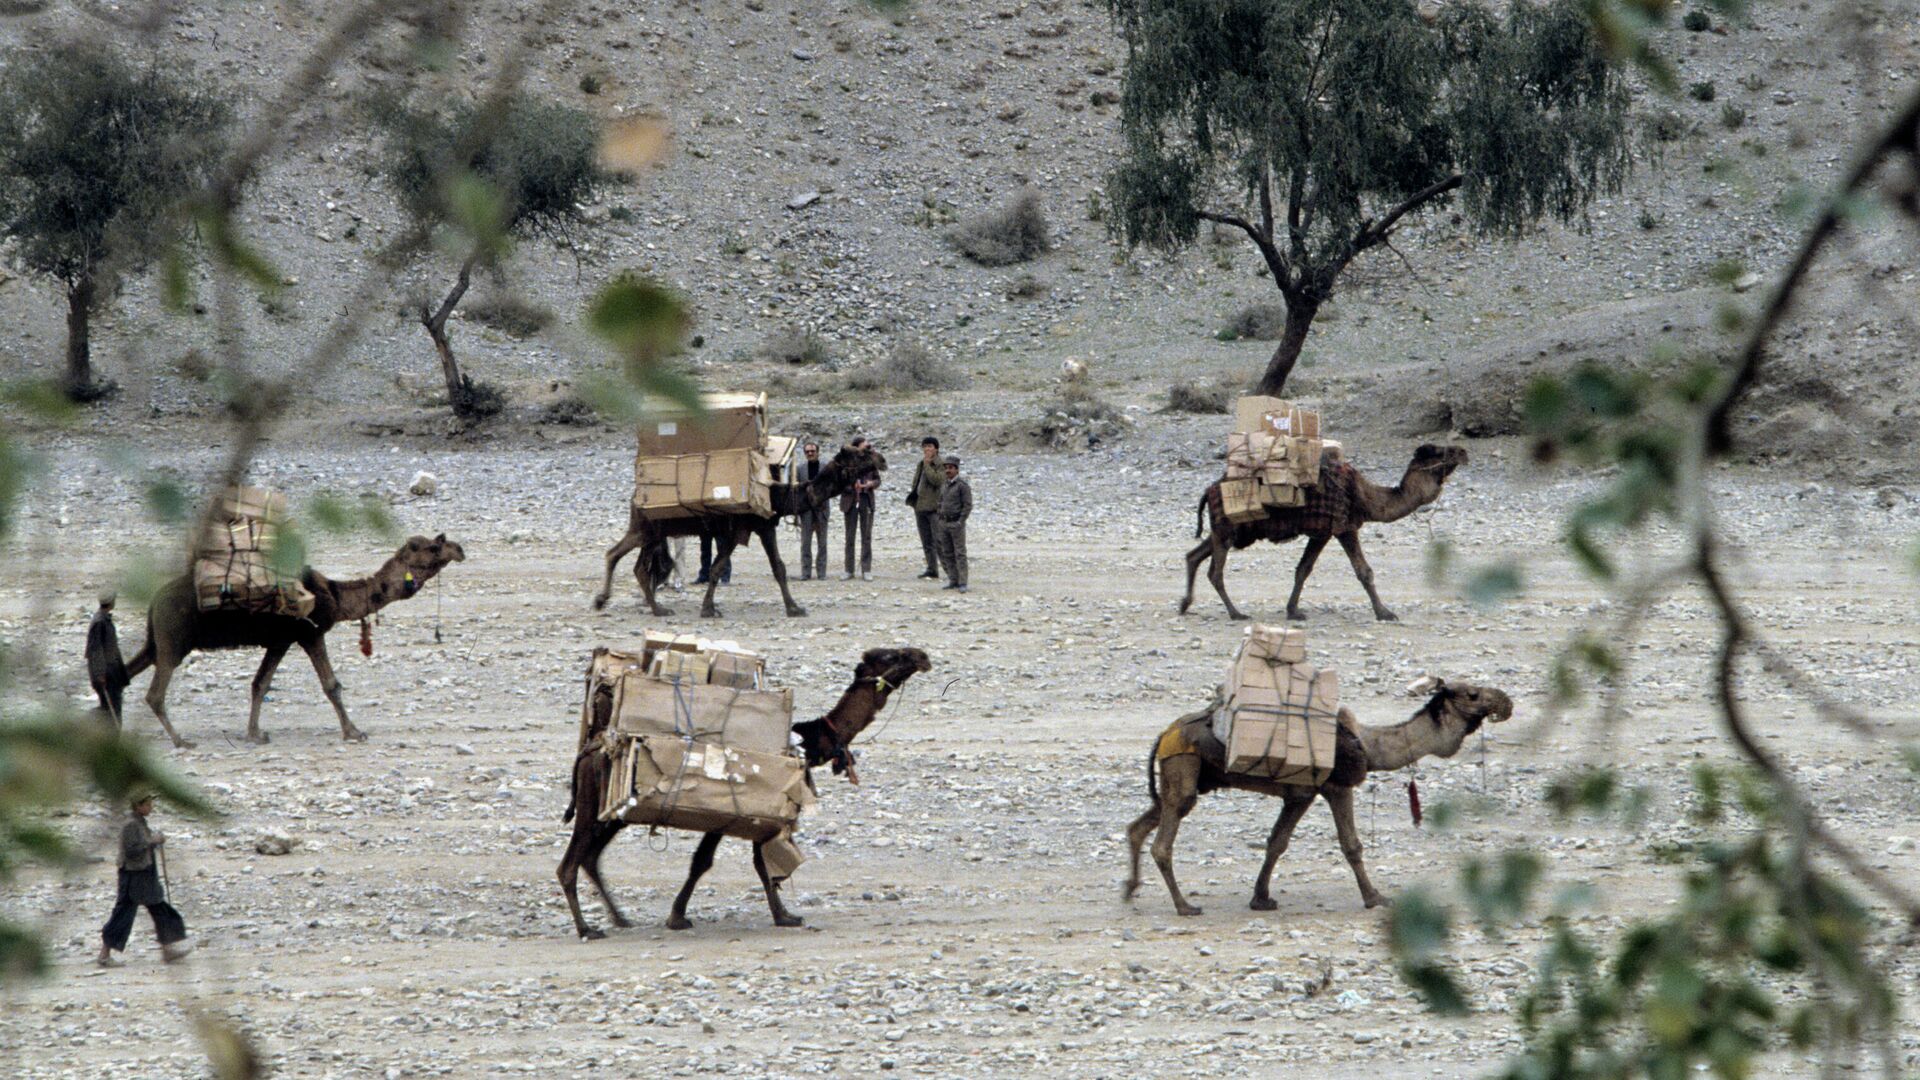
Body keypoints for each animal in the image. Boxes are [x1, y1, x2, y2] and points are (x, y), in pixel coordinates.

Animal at [98, 530, 468, 749]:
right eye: (433, 546)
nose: (460, 548)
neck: (334, 595)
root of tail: (155, 600)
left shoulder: (279, 641)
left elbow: (259, 684)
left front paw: (254, 733)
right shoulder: (309, 633)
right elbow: (331, 684)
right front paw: (354, 732)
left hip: (156, 640)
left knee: (124, 673)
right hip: (173, 641)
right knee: (154, 693)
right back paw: (180, 740)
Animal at [556, 645, 929, 933]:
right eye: (890, 655)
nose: (923, 656)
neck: (807, 745)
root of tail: (590, 749)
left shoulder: (763, 815)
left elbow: (761, 863)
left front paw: (784, 915)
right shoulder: (727, 813)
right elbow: (705, 862)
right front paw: (677, 917)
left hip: (613, 814)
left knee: (590, 857)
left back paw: (619, 919)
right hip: (592, 804)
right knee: (571, 863)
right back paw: (587, 929)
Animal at [587, 441, 879, 618]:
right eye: (860, 454)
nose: (882, 461)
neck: (774, 496)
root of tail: (635, 497)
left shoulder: (759, 527)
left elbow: (775, 567)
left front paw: (794, 607)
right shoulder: (741, 530)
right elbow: (722, 567)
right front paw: (709, 609)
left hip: (653, 534)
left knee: (637, 566)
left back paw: (651, 607)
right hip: (645, 528)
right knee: (615, 554)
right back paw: (613, 602)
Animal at [1121, 676, 1512, 910]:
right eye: (1473, 693)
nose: (1506, 701)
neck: (1369, 745)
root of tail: (1163, 735)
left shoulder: (1301, 793)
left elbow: (1277, 842)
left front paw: (1261, 898)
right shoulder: (1336, 786)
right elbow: (1351, 845)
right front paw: (1375, 897)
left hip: (1188, 776)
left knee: (1141, 825)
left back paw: (1130, 889)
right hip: (1183, 767)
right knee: (1164, 839)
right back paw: (1184, 906)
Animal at [1167, 441, 1466, 618]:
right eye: (1439, 452)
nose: (1463, 450)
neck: (1364, 496)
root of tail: (1208, 490)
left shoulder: (1322, 531)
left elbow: (1303, 569)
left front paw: (1293, 610)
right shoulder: (1344, 526)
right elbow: (1364, 571)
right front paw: (1384, 612)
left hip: (1231, 530)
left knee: (1194, 555)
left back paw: (1185, 604)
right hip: (1228, 528)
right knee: (1215, 571)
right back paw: (1236, 613)